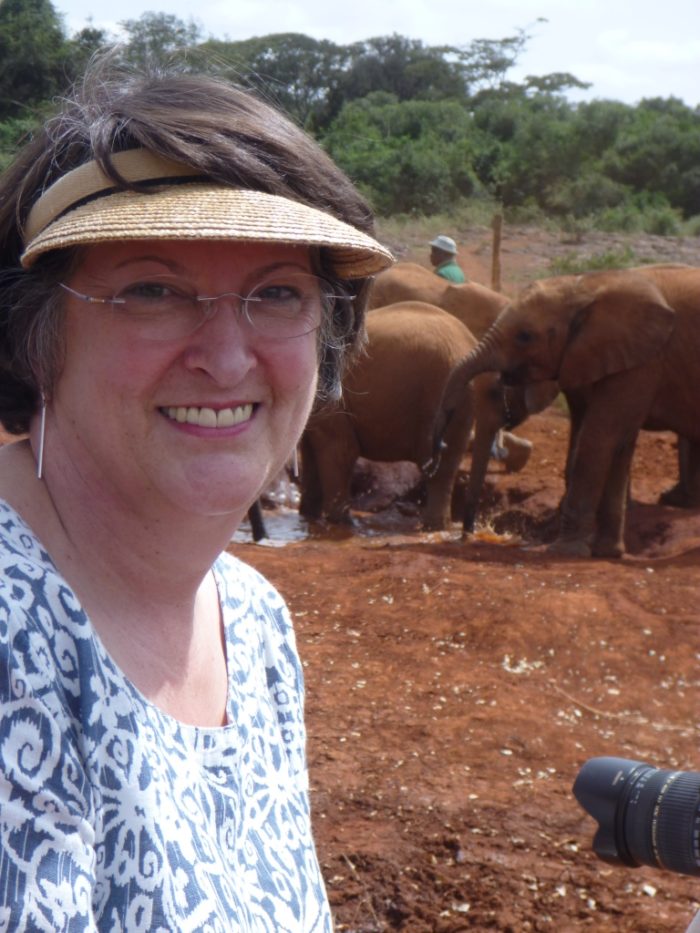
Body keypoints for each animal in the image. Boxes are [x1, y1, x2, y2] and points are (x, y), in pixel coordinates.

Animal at [440, 262, 700, 552]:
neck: (586, 286)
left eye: (524, 336)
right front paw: (607, 551)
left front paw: (564, 548)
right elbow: (614, 440)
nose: (468, 533)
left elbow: (599, 437)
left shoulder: (645, 361)